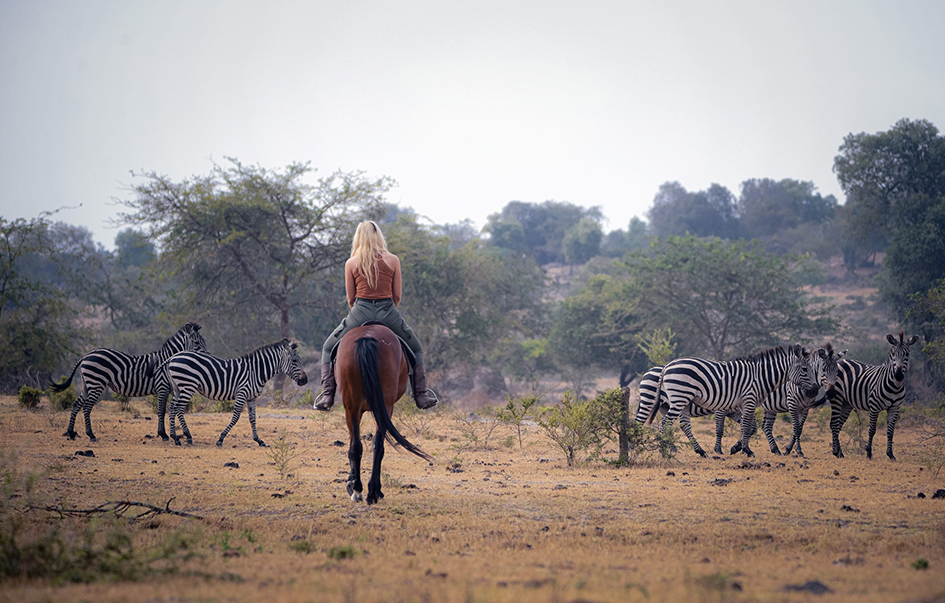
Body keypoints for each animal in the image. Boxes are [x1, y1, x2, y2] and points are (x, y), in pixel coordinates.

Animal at [49, 324, 206, 442]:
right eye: (197, 342)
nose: (206, 358)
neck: (167, 359)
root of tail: (86, 355)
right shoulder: (162, 388)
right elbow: (161, 411)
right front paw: (163, 435)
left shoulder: (164, 389)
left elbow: (162, 411)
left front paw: (163, 434)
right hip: (96, 383)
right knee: (87, 407)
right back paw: (91, 435)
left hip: (87, 385)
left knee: (76, 404)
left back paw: (71, 433)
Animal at [163, 340, 306, 448]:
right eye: (294, 361)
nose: (305, 380)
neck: (255, 372)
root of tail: (173, 357)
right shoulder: (241, 393)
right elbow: (236, 417)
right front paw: (220, 439)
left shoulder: (252, 397)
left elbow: (253, 418)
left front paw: (259, 440)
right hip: (188, 385)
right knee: (179, 408)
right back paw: (188, 436)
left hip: (178, 387)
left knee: (172, 408)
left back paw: (175, 437)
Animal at [336, 326, 432, 504]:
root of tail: (366, 338)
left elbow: (354, 444)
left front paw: (352, 483)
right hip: (382, 406)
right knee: (375, 444)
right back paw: (371, 491)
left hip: (354, 407)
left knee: (361, 445)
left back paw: (361, 490)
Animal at [824, 332, 916, 460]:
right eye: (893, 354)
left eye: (907, 354)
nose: (898, 375)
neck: (895, 386)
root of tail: (841, 361)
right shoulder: (874, 407)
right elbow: (872, 430)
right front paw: (869, 453)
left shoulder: (895, 408)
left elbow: (890, 431)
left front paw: (890, 454)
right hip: (837, 399)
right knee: (834, 424)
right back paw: (836, 452)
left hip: (846, 404)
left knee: (838, 425)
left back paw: (840, 453)